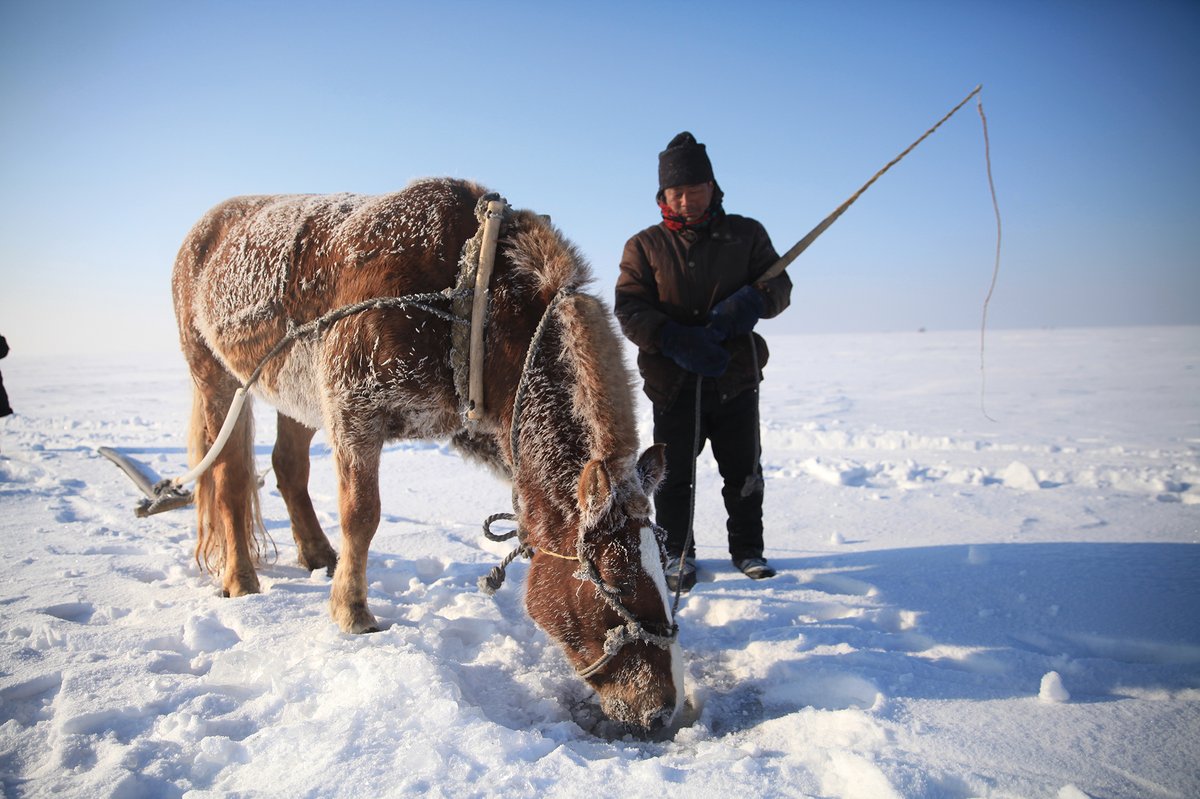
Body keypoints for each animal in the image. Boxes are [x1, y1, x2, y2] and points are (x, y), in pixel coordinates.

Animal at [169, 177, 686, 729]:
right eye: (615, 580)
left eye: (662, 567)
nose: (663, 709)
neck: (471, 297)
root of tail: (204, 228)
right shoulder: (353, 407)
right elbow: (362, 516)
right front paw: (352, 613)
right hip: (215, 376)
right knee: (229, 477)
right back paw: (241, 578)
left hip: (295, 394)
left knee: (288, 468)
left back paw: (317, 554)